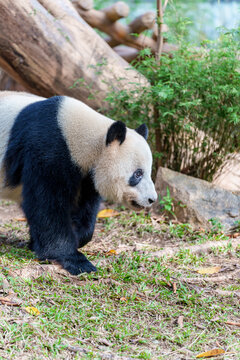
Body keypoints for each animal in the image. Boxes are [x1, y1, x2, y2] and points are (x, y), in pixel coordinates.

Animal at [0, 91, 158, 274]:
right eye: (138, 174)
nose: (151, 199)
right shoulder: (47, 150)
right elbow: (46, 205)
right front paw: (75, 260)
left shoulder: (86, 174)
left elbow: (85, 206)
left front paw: (75, 235)